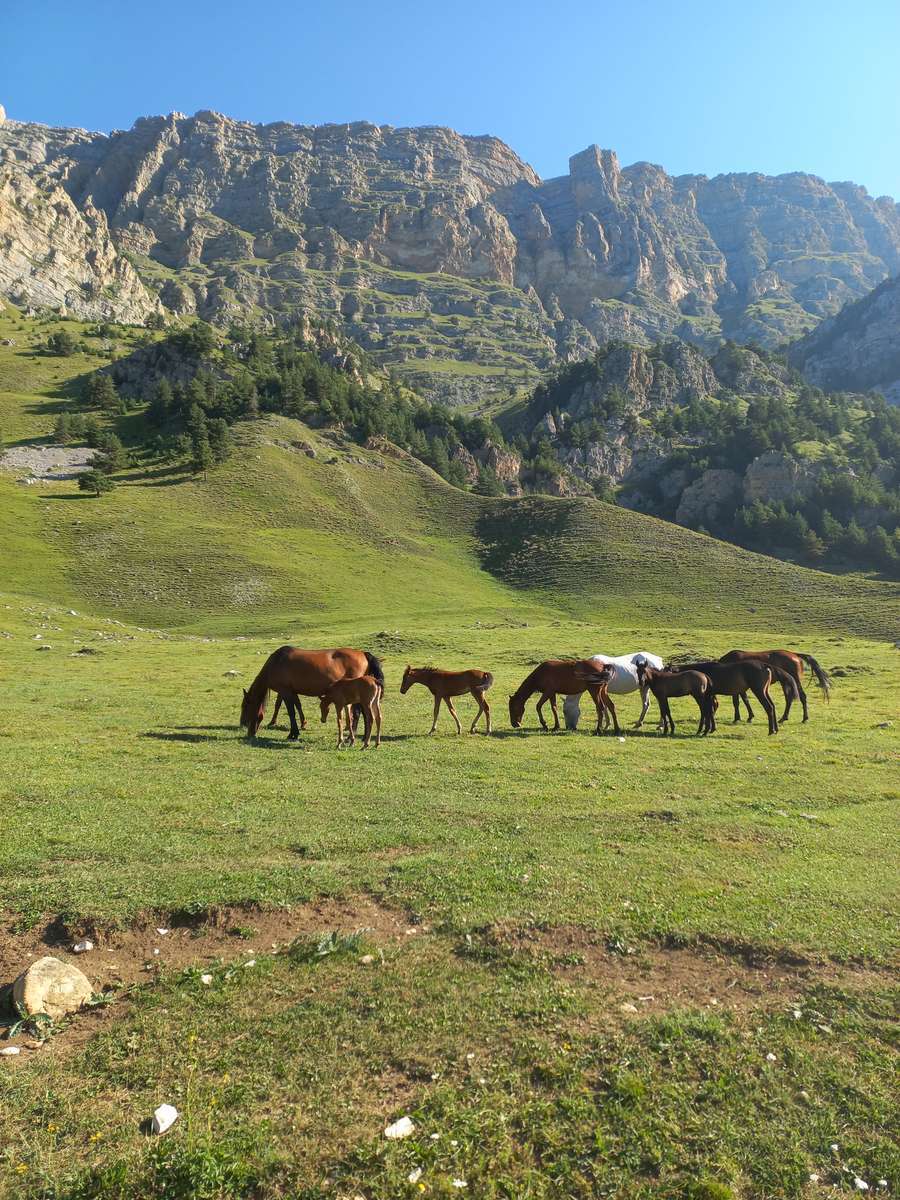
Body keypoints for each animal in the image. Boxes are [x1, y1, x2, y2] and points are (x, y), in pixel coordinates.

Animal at [240, 648, 384, 739]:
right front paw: (301, 726)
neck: (276, 663)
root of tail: (363, 653)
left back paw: (351, 737)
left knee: (359, 713)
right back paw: (363, 737)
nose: (243, 725)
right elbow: (298, 706)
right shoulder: (292, 692)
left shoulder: (285, 692)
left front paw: (293, 734)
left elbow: (291, 712)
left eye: (245, 707)